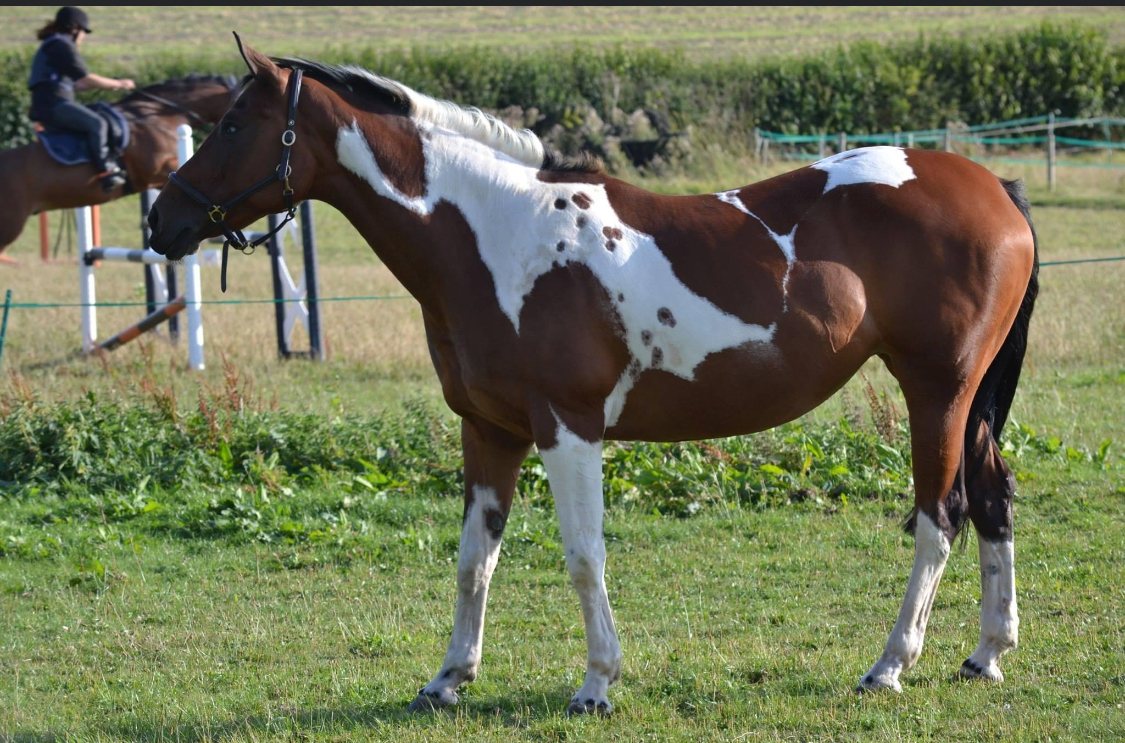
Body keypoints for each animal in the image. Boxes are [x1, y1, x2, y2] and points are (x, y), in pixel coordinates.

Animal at [148, 39, 1038, 715]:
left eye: (234, 124)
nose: (162, 222)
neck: (495, 235)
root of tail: (994, 188)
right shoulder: (490, 430)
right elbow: (474, 558)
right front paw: (447, 679)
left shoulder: (566, 428)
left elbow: (582, 555)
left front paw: (595, 685)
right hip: (969, 403)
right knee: (993, 498)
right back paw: (985, 653)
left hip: (937, 392)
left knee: (940, 516)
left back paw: (888, 664)